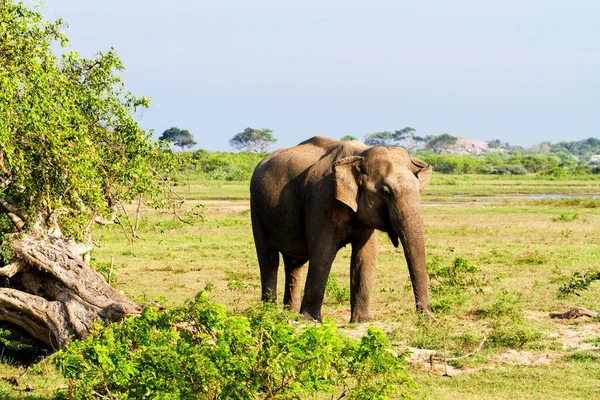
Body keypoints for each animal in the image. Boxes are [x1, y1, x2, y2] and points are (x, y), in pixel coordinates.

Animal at [251, 137, 434, 322]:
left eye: (418, 188)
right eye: (385, 191)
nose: (426, 316)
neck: (360, 155)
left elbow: (366, 255)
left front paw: (362, 321)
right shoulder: (321, 200)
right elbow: (322, 253)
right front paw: (311, 320)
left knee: (294, 263)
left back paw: (290, 314)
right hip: (257, 209)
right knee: (269, 258)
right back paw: (269, 313)